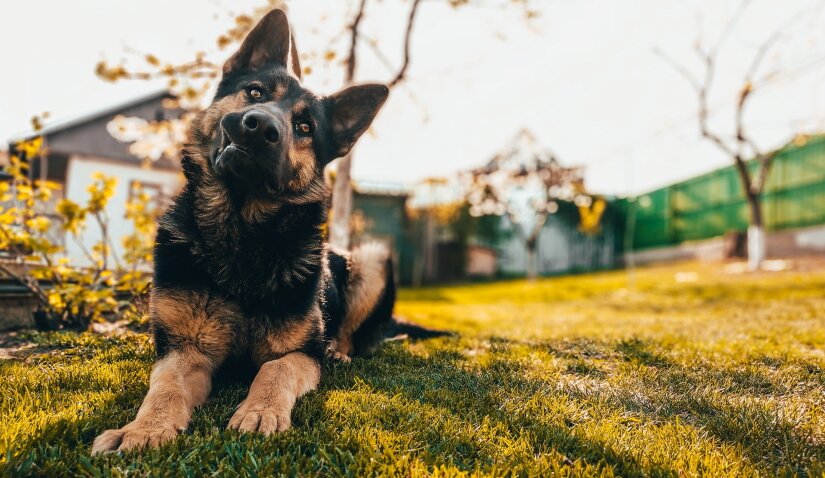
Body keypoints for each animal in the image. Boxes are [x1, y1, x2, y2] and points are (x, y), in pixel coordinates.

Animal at [93, 9, 448, 454]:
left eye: (306, 127)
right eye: (255, 92)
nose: (259, 126)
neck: (240, 237)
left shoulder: (300, 354)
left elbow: (274, 371)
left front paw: (260, 411)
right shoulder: (184, 352)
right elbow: (165, 388)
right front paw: (144, 428)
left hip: (372, 259)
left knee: (352, 334)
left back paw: (339, 352)